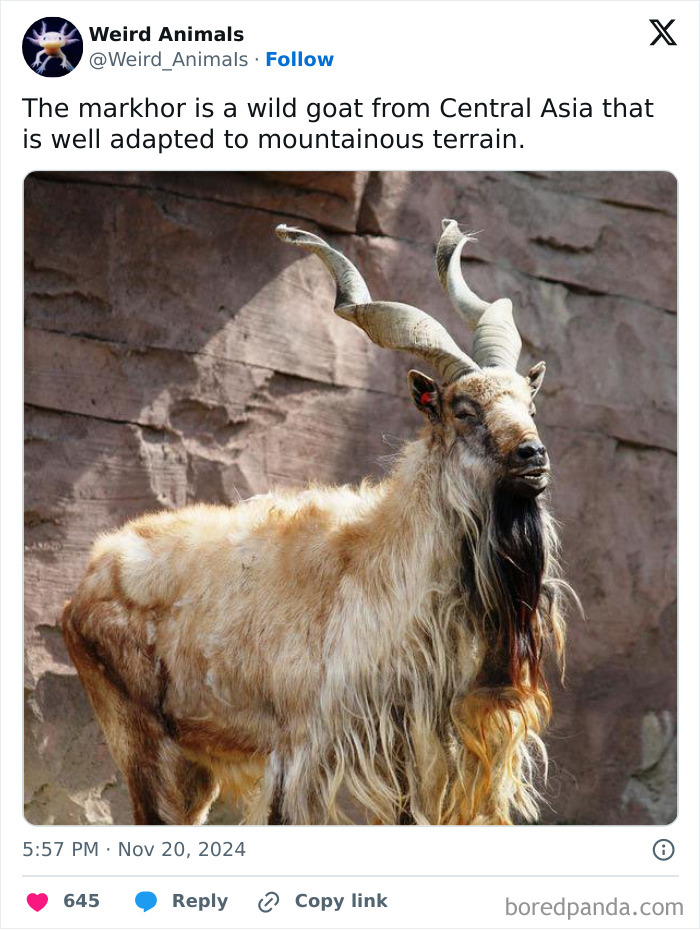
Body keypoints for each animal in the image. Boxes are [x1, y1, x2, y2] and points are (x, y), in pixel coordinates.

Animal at [62, 220, 574, 825]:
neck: (384, 564)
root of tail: (87, 579)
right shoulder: (303, 752)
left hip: (193, 764)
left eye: (530, 405)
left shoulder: (412, 755)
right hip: (143, 743)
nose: (533, 455)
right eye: (463, 409)